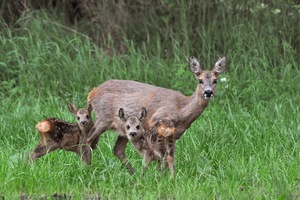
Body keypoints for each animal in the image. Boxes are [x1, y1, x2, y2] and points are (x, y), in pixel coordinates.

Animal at [81, 54, 226, 173]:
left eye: (215, 80)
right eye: (200, 80)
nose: (208, 92)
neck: (181, 110)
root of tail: (91, 93)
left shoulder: (175, 134)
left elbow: (168, 155)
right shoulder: (156, 120)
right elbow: (160, 154)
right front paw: (161, 174)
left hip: (123, 127)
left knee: (117, 149)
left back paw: (134, 173)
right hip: (103, 118)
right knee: (87, 139)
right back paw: (87, 167)